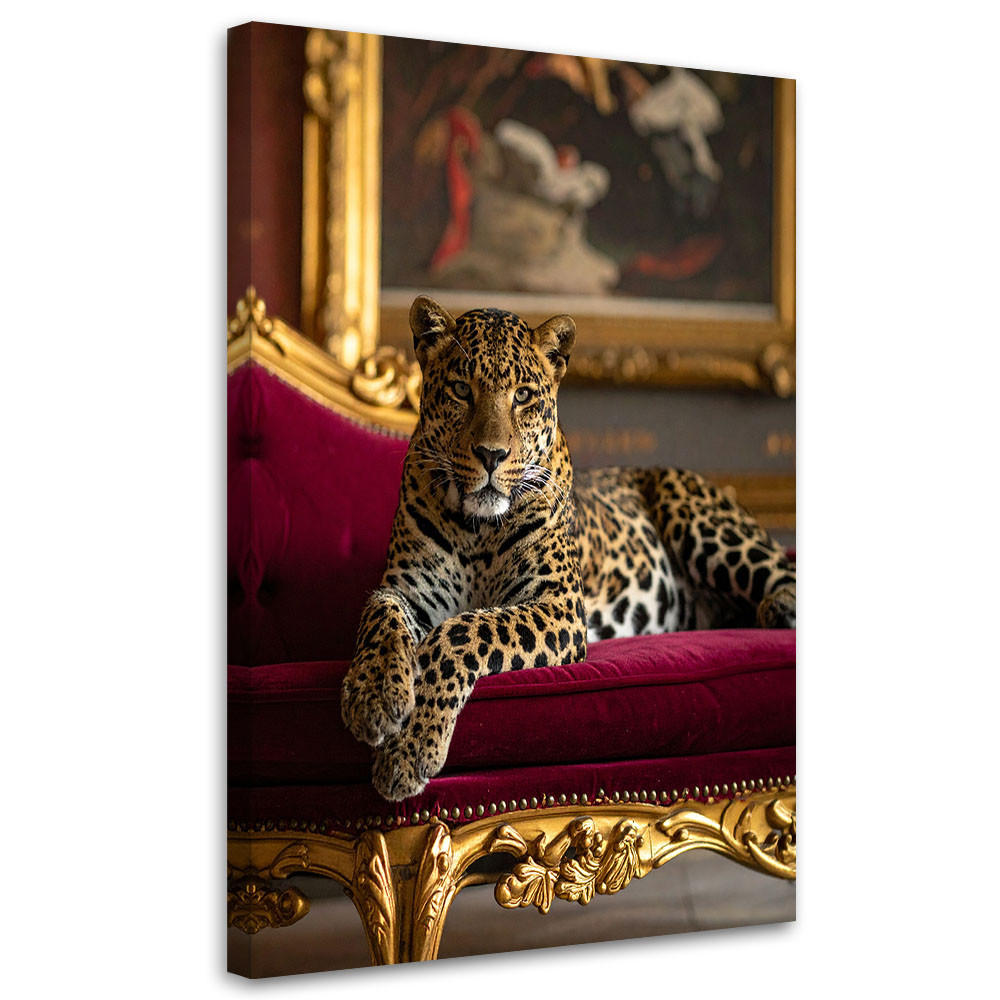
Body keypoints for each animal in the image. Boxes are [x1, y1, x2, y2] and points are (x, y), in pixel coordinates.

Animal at [341, 296, 796, 801]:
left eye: (522, 396)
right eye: (460, 389)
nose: (491, 455)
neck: (477, 528)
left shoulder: (557, 605)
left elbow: (464, 631)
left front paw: (410, 749)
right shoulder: (407, 590)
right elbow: (380, 616)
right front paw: (374, 695)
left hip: (696, 517)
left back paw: (779, 609)